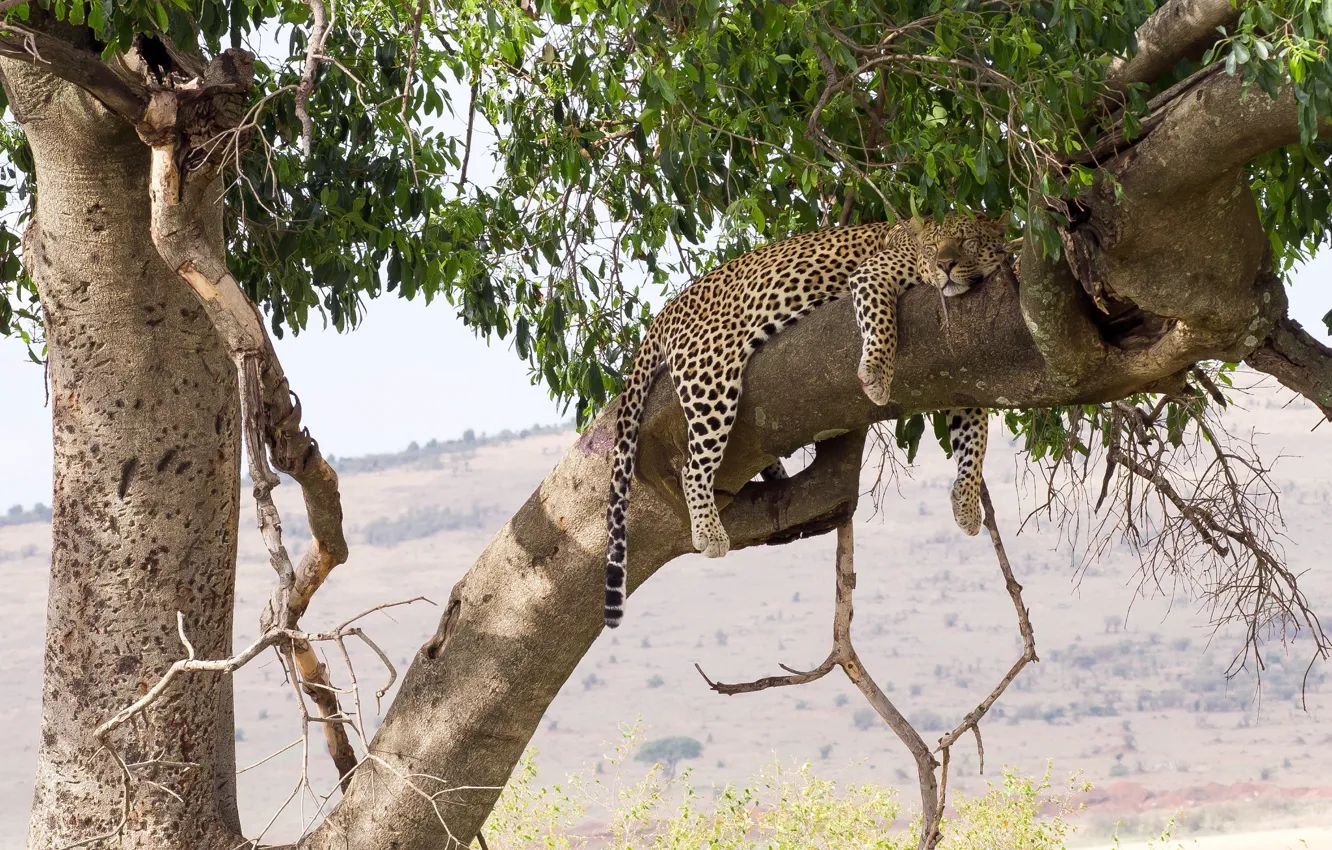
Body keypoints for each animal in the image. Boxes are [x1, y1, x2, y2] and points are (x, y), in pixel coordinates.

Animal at [603, 213, 1011, 628]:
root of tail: (668, 309)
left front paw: (966, 506)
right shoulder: (873, 273)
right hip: (710, 373)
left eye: (967, 242)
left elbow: (974, 442)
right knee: (692, 466)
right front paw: (876, 374)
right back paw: (709, 532)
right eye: (931, 248)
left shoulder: (960, 374)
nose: (945, 265)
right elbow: (881, 320)